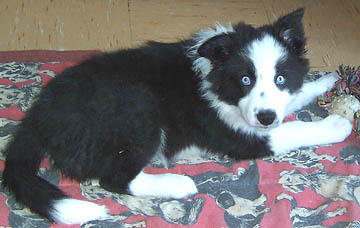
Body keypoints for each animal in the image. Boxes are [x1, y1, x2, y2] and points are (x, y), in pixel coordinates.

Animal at [1, 8, 352, 224]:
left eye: (280, 78)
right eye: (245, 80)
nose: (265, 116)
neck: (215, 77)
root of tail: (39, 116)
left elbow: (294, 100)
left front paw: (327, 82)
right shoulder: (236, 135)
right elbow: (291, 130)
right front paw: (337, 124)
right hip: (139, 108)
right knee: (115, 178)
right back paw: (178, 183)